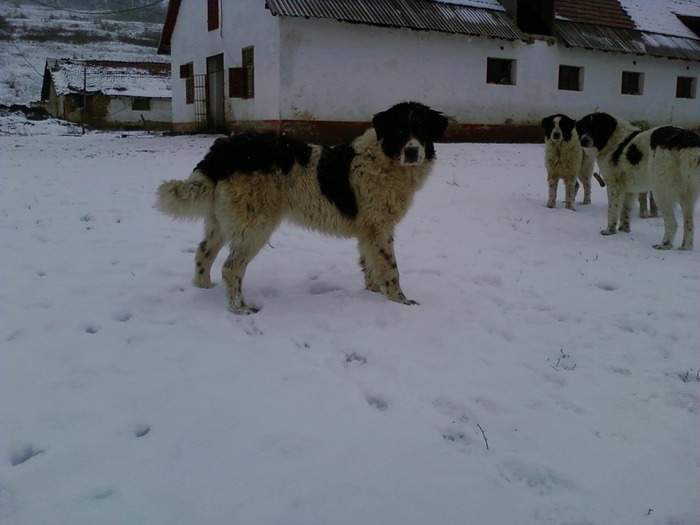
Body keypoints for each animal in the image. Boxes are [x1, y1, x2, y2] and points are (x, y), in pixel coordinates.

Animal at [156, 103, 446, 316]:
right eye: (399, 131)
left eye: (422, 131)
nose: (412, 152)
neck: (385, 158)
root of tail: (226, 148)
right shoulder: (379, 226)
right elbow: (390, 267)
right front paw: (401, 301)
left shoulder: (368, 231)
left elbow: (370, 265)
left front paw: (374, 293)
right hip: (255, 225)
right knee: (230, 267)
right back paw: (241, 308)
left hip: (221, 220)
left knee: (203, 252)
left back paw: (203, 288)